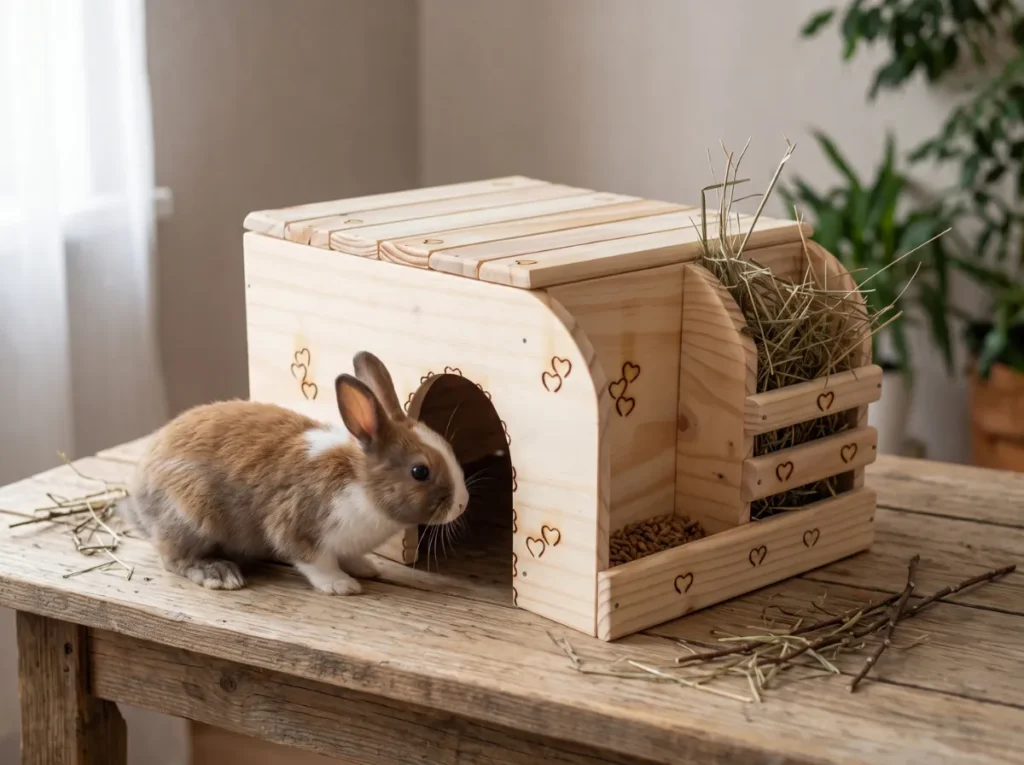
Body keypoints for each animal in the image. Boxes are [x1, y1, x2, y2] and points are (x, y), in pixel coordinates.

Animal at [117, 351, 470, 595]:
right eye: (420, 471)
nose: (462, 503)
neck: (361, 483)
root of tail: (140, 496)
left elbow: (351, 557)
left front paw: (366, 568)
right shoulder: (298, 528)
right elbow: (315, 562)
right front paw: (342, 585)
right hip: (189, 516)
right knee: (174, 560)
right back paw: (219, 574)